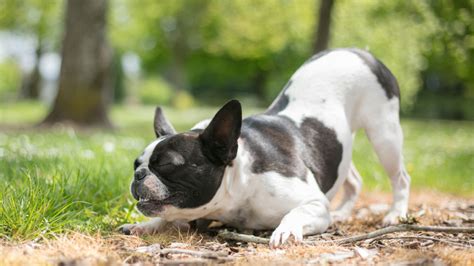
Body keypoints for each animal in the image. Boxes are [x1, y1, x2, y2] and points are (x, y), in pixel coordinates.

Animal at [121, 48, 412, 247]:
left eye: (167, 164)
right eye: (136, 164)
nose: (138, 175)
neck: (241, 182)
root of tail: (358, 51)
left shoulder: (315, 204)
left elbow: (295, 212)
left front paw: (286, 230)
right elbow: (169, 218)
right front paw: (146, 225)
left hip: (384, 133)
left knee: (401, 177)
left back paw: (395, 213)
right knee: (352, 177)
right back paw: (342, 212)